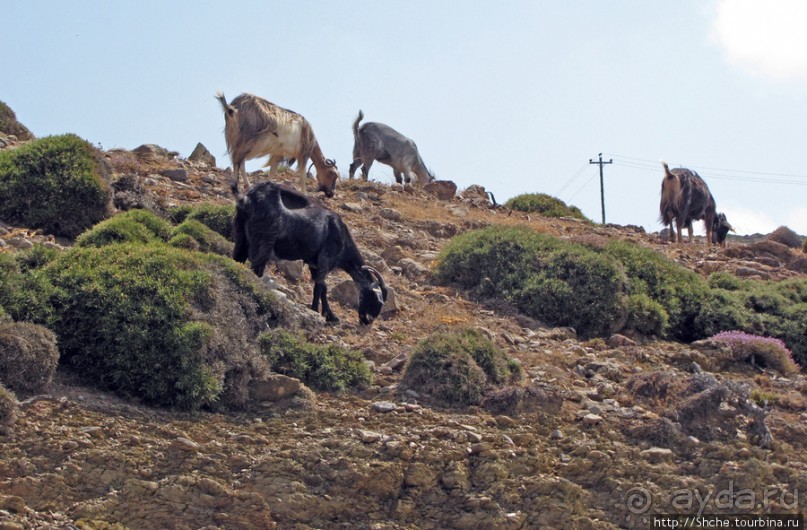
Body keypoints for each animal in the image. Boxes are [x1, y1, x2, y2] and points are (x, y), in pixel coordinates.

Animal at [234, 179, 388, 324]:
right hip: (264, 241)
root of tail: (248, 197)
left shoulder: (314, 263)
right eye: (376, 299)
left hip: (242, 236)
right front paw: (319, 312)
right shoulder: (325, 259)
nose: (367, 321)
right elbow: (320, 287)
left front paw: (327, 314)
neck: (342, 237)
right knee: (255, 268)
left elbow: (322, 288)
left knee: (238, 259)